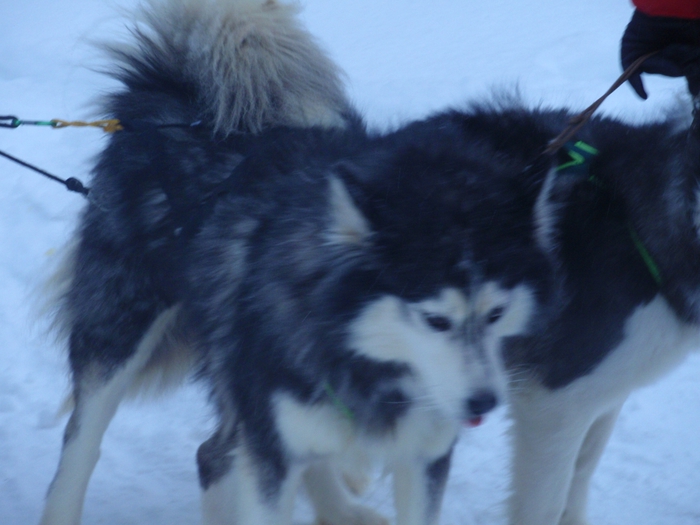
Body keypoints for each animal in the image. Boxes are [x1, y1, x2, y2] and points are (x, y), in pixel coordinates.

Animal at [39, 1, 556, 524]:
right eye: (435, 320)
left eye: (496, 312)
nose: (484, 401)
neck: (366, 355)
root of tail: (175, 102)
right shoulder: (273, 447)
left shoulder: (423, 454)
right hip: (120, 335)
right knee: (83, 446)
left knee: (220, 454)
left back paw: (340, 509)